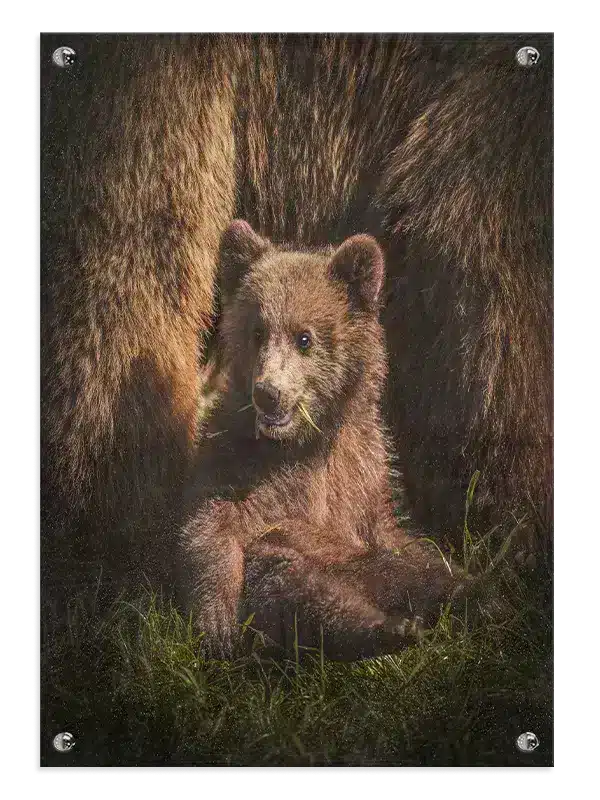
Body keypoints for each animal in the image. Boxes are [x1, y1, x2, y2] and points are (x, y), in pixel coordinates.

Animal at [178, 220, 471, 660]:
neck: (305, 440)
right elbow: (211, 520)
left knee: (414, 572)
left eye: (305, 338)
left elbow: (396, 534)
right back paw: (389, 627)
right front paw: (217, 621)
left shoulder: (363, 469)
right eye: (257, 331)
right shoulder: (235, 457)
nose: (269, 392)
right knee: (294, 581)